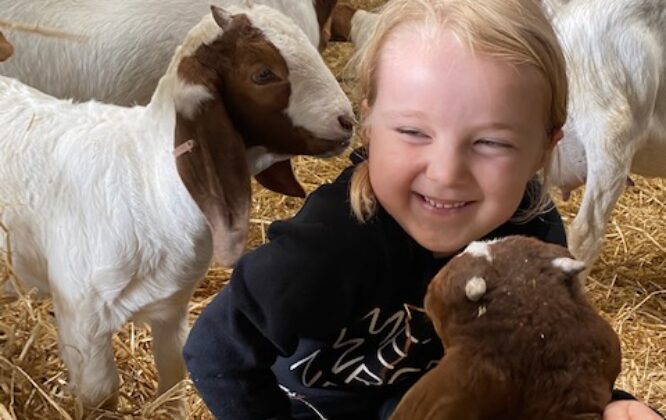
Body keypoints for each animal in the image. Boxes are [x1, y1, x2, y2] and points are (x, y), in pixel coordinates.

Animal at [0, 3, 352, 410]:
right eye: (263, 74)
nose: (348, 120)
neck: (146, 181)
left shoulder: (172, 308)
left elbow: (174, 377)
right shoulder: (82, 320)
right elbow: (101, 395)